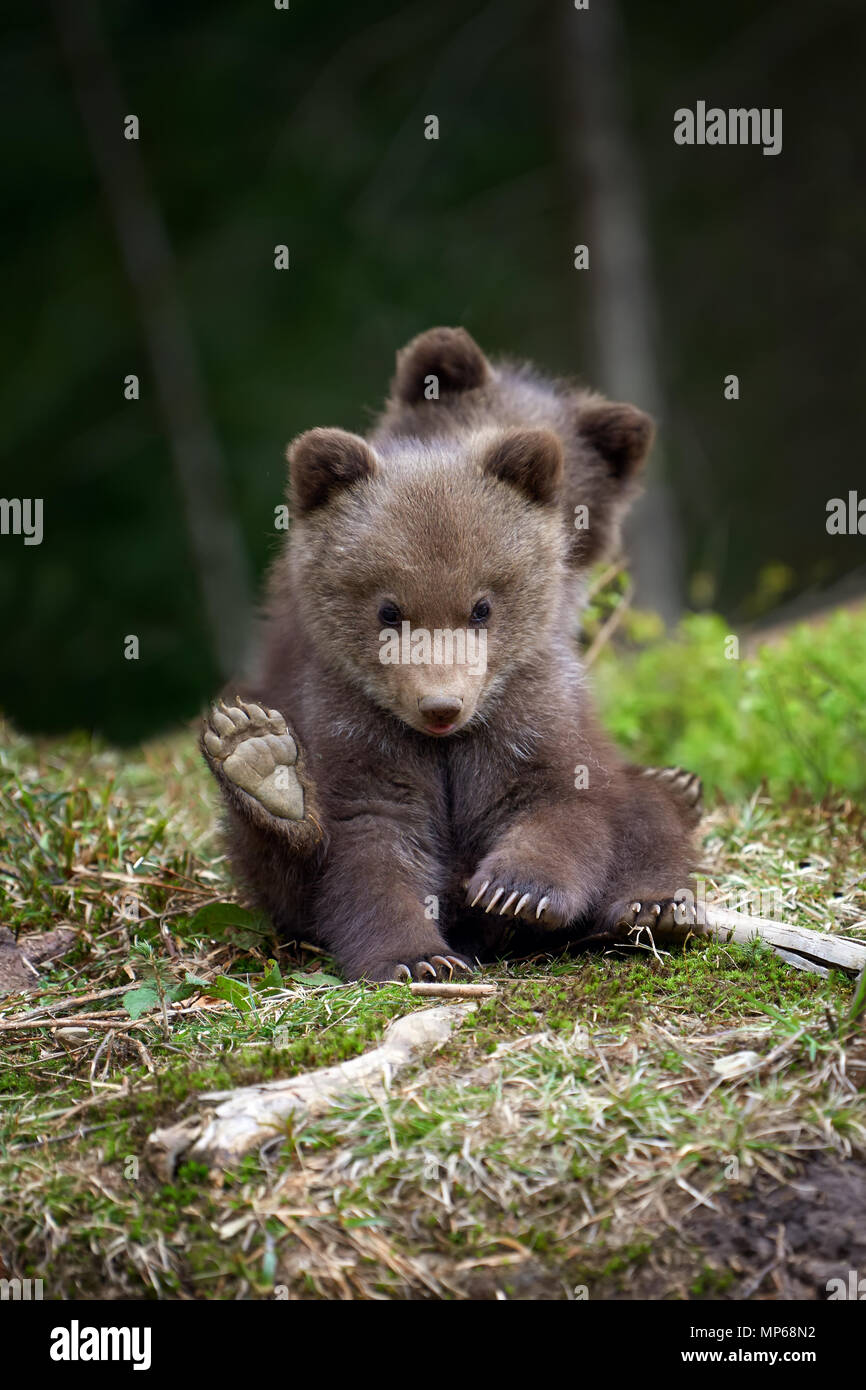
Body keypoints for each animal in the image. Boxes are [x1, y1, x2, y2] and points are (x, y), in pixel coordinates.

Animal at [201, 327, 702, 982]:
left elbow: (563, 801)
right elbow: (374, 847)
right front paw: (416, 956)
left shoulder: (534, 715)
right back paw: (262, 770)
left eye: (482, 608)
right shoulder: (355, 727)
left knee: (645, 812)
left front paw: (521, 887)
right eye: (389, 611)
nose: (441, 705)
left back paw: (656, 901)